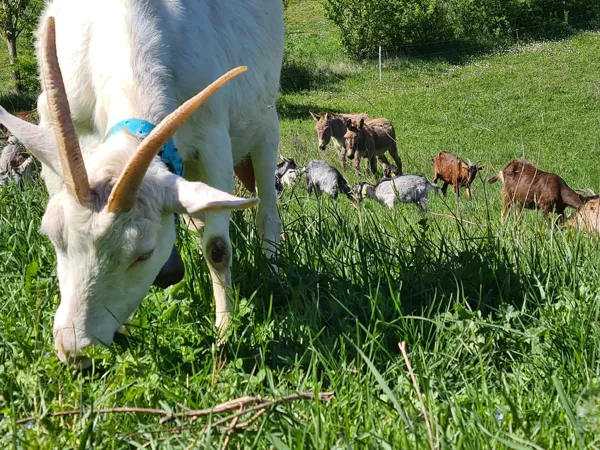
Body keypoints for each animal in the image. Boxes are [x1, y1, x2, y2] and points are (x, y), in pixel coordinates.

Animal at [0, 0, 284, 366]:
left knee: (267, 212)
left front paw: (224, 334)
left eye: (143, 253)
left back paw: (273, 274)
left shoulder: (213, 138)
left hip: (265, 126)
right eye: (53, 236)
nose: (74, 350)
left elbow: (218, 248)